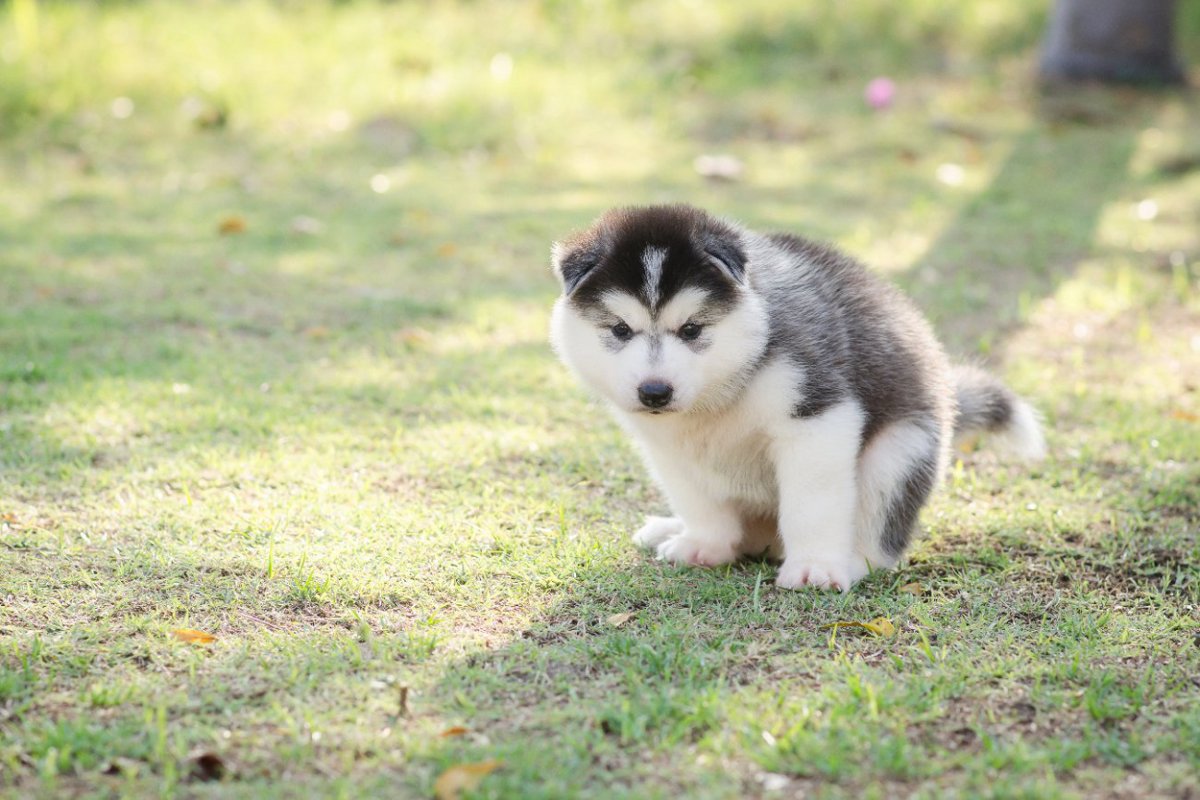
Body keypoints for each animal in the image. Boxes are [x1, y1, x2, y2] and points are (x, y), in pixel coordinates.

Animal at [549, 206, 1046, 592]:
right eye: (620, 330)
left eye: (691, 329)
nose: (655, 392)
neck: (720, 390)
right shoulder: (667, 446)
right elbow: (697, 499)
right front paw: (705, 544)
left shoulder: (818, 416)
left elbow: (812, 504)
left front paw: (814, 567)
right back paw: (673, 528)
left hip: (901, 451)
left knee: (878, 540)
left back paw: (851, 562)